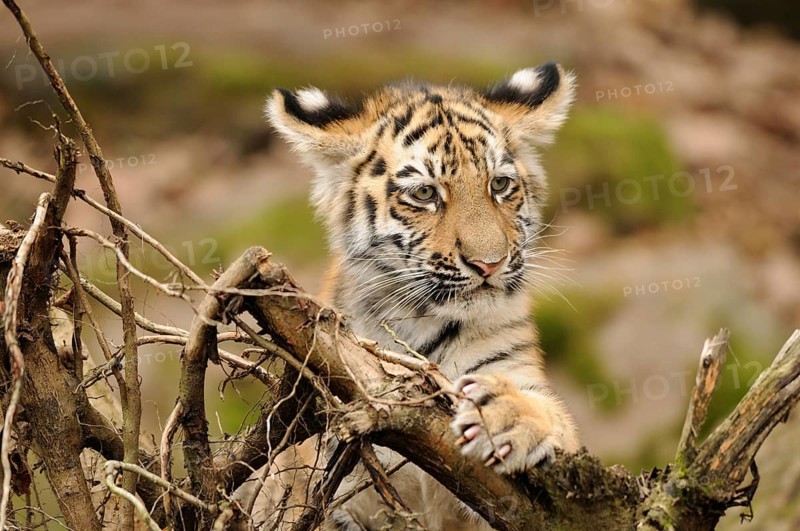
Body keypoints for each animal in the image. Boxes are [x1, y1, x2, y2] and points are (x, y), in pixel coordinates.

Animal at [263, 62, 580, 530]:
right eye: (425, 193)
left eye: (500, 184)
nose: (489, 264)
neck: (421, 322)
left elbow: (559, 424)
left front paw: (506, 414)